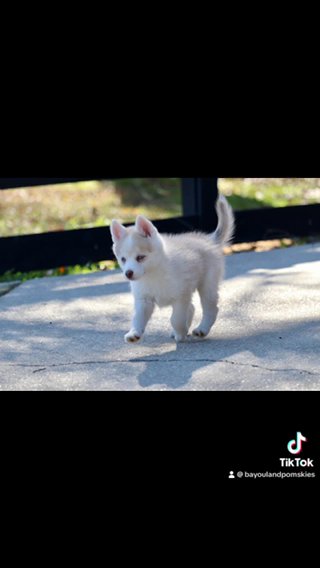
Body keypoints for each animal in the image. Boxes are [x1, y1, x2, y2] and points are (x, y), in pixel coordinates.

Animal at [110, 195, 235, 344]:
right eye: (123, 259)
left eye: (140, 257)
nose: (128, 273)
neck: (153, 274)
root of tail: (209, 240)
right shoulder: (143, 300)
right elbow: (137, 318)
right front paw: (134, 333)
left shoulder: (181, 297)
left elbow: (176, 319)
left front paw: (180, 333)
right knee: (192, 308)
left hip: (207, 286)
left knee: (211, 309)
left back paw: (202, 329)